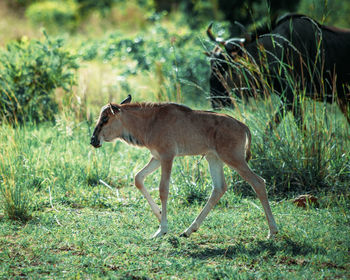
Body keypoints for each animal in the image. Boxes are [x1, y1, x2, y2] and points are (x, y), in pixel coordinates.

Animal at [91, 95, 278, 238]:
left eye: (105, 119)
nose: (93, 140)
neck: (151, 121)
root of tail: (242, 125)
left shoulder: (167, 157)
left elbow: (163, 190)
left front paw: (161, 230)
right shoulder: (156, 157)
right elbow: (138, 178)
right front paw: (159, 216)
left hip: (234, 159)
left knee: (258, 182)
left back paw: (272, 231)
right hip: (213, 158)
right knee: (219, 188)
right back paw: (189, 230)